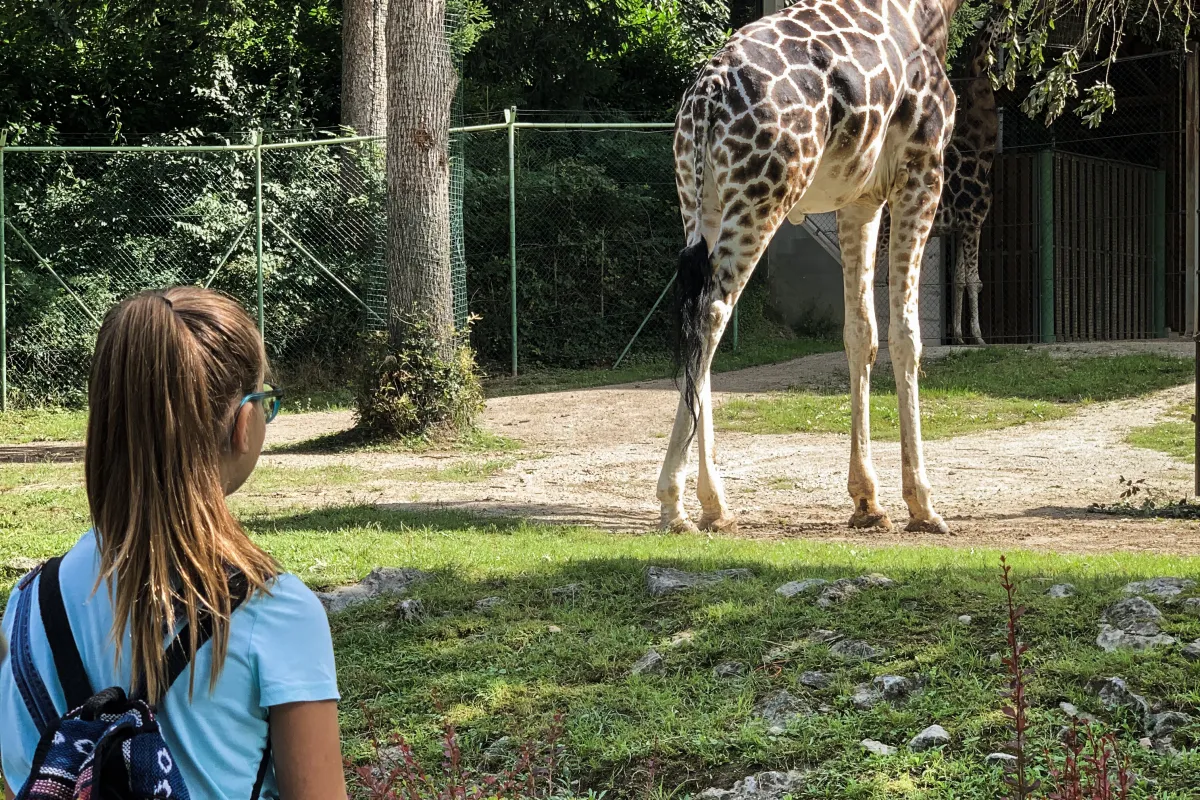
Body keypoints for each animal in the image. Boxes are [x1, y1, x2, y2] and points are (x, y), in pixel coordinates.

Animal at [657, 3, 984, 537]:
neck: (930, 14)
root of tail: (707, 96)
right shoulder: (922, 169)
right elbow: (906, 337)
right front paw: (922, 504)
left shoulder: (861, 199)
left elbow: (861, 333)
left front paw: (867, 501)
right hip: (761, 196)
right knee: (713, 314)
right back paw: (674, 505)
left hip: (698, 198)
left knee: (697, 317)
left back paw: (715, 505)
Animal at [878, 16, 1008, 345]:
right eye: (999, 23)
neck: (979, 148)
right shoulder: (975, 221)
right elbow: (975, 280)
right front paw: (980, 337)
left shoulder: (959, 227)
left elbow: (959, 279)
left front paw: (960, 337)